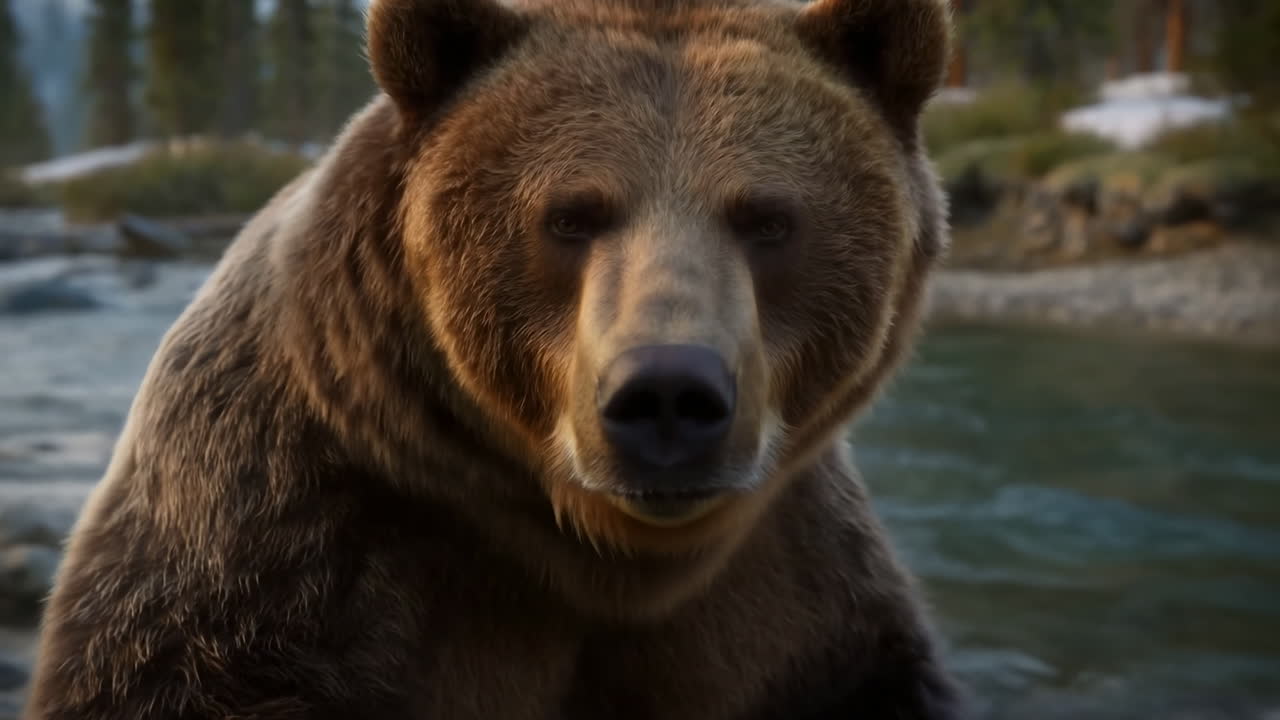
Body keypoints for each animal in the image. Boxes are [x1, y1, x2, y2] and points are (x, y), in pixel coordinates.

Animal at [24, 0, 964, 717]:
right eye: (571, 215)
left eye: (767, 218)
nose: (667, 393)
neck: (599, 558)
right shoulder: (273, 560)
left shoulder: (793, 611)